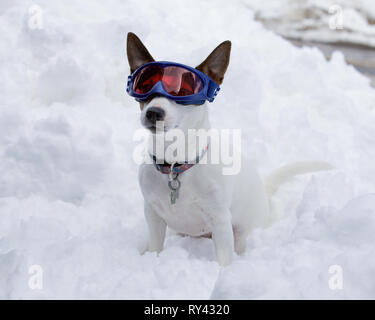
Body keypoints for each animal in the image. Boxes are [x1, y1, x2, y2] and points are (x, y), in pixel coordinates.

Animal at [127, 31, 332, 264]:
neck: (175, 164)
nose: (153, 113)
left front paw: (221, 272)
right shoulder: (153, 216)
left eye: (184, 91)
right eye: (145, 87)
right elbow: (155, 247)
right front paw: (151, 257)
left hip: (242, 231)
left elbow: (224, 260)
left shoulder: (220, 222)